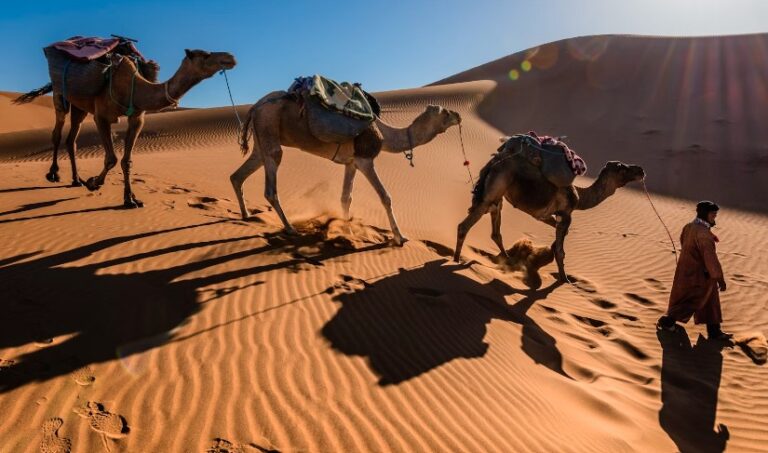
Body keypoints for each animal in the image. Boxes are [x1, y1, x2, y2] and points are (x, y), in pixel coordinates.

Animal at [15, 49, 236, 208]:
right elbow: (111, 158)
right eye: (205, 54)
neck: (134, 86)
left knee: (72, 139)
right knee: (57, 132)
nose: (230, 57)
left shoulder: (137, 118)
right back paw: (54, 174)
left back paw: (76, 180)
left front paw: (130, 199)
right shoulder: (101, 116)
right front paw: (94, 183)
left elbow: (126, 160)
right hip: (60, 94)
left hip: (80, 107)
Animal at [231, 91, 461, 245]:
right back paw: (289, 228)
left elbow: (345, 197)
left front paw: (347, 231)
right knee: (271, 182)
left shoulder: (351, 163)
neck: (384, 134)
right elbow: (385, 196)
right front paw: (400, 237)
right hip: (269, 127)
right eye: (444, 112)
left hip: (261, 140)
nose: (458, 115)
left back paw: (247, 216)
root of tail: (255, 107)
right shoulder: (364, 159)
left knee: (238, 175)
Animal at [453, 134, 645, 281]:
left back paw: (508, 260)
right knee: (465, 226)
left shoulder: (545, 215)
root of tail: (495, 161)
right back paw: (455, 260)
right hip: (492, 193)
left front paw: (551, 251)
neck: (579, 197)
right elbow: (561, 251)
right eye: (622, 168)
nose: (640, 170)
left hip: (497, 196)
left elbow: (559, 234)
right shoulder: (566, 214)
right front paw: (565, 279)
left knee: (495, 230)